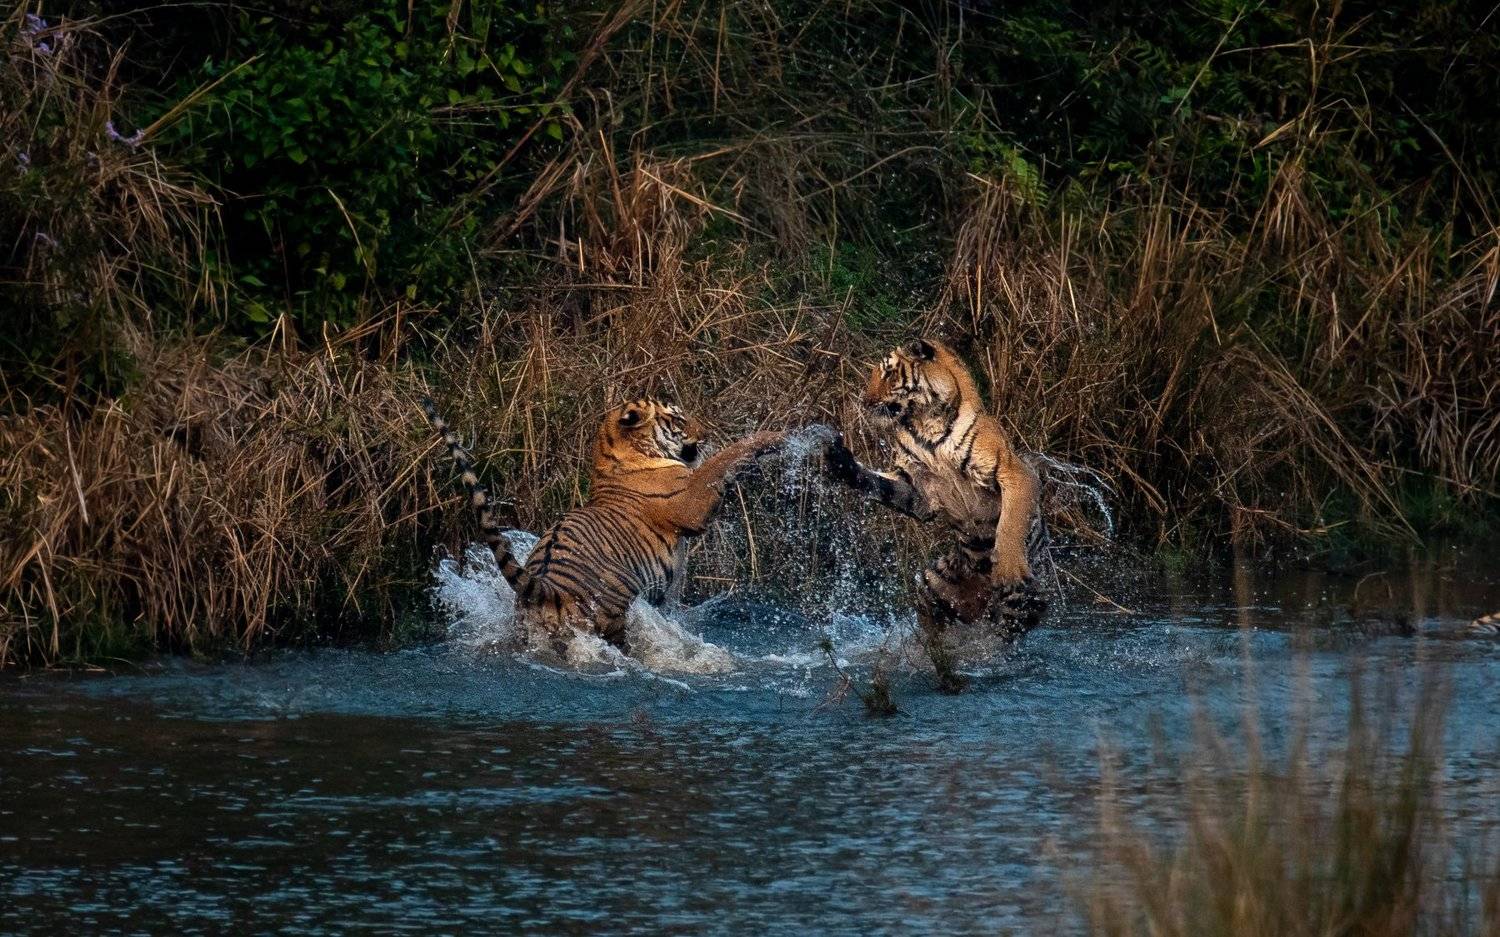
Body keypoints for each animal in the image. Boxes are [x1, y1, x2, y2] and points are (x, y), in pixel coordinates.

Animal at [422, 396, 788, 655]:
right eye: (678, 418)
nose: (706, 434)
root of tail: (547, 588)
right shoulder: (691, 502)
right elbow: (719, 462)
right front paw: (772, 437)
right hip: (612, 617)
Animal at [822, 337, 1050, 691]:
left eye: (888, 374)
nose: (864, 401)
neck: (925, 424)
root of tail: (979, 602)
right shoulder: (917, 491)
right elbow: (878, 483)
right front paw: (839, 460)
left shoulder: (1013, 472)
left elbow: (1010, 524)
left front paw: (1008, 567)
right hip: (932, 584)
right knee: (937, 628)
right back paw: (933, 657)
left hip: (1024, 602)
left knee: (1002, 636)